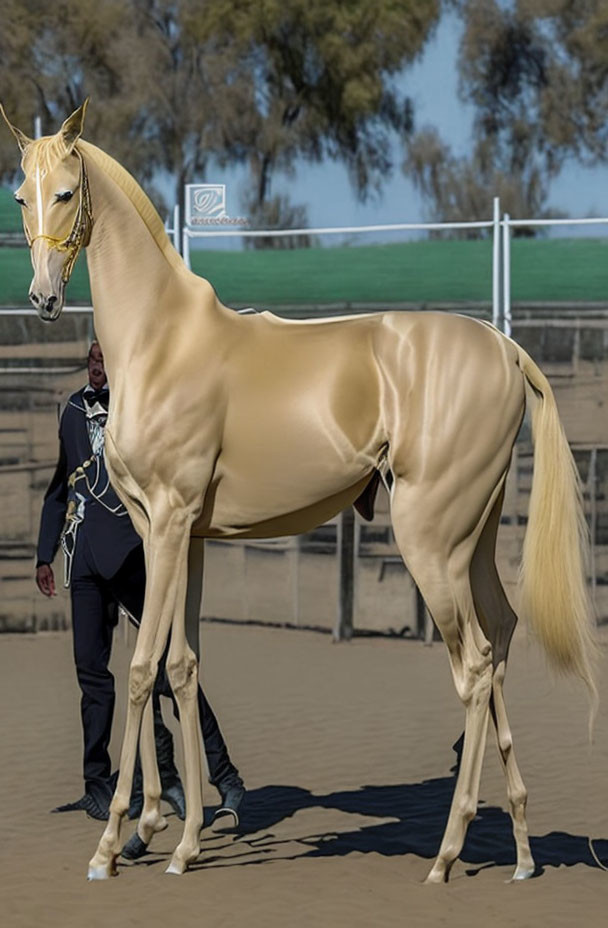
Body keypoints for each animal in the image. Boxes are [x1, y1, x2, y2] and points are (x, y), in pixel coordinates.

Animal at [2, 101, 596, 884]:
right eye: (20, 198)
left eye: (67, 193)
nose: (41, 299)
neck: (162, 342)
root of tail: (504, 347)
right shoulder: (182, 536)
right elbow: (180, 669)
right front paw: (177, 838)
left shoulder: (166, 524)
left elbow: (138, 669)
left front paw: (114, 843)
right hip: (474, 542)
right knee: (498, 640)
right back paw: (523, 850)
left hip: (430, 545)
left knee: (471, 667)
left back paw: (446, 854)